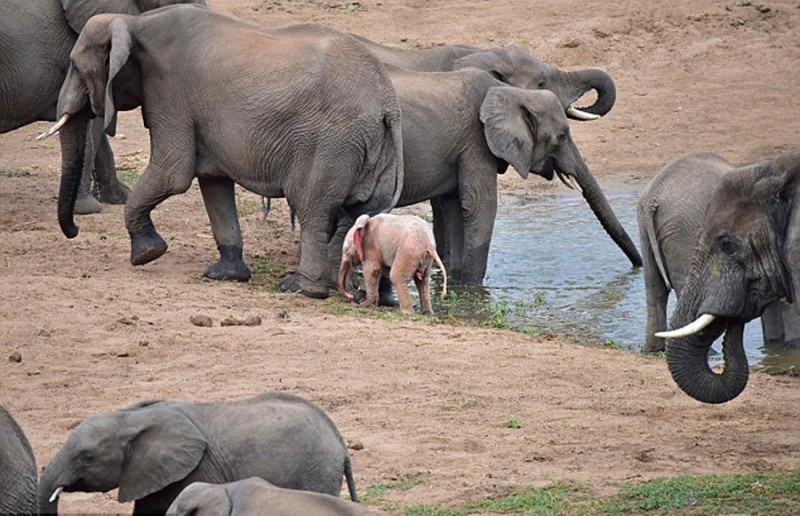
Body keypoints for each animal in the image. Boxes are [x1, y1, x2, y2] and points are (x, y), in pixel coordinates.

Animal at [45, 7, 400, 298]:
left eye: (75, 67)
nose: (74, 231)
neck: (136, 22)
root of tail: (386, 100)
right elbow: (212, 181)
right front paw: (225, 274)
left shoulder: (169, 90)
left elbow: (173, 173)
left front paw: (147, 254)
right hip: (372, 150)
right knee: (359, 214)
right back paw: (335, 287)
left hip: (329, 144)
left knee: (315, 210)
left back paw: (302, 289)